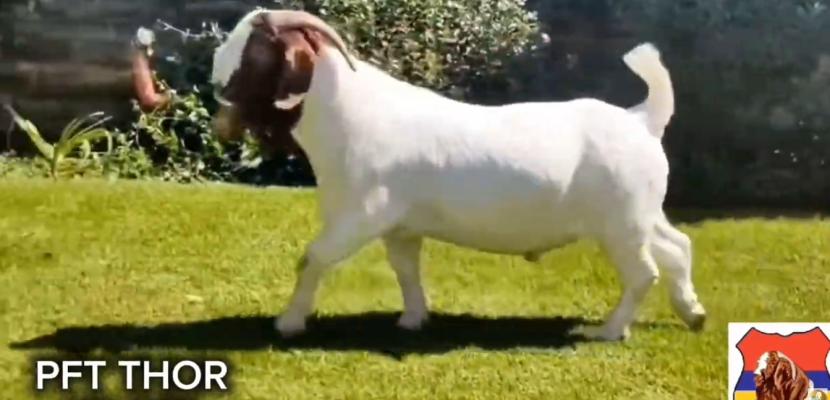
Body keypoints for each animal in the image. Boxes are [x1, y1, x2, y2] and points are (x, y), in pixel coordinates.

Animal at [211, 9, 707, 341]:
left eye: (254, 53)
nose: (216, 88)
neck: (346, 114)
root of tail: (640, 118)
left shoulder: (361, 214)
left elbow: (312, 258)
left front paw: (288, 323)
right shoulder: (400, 226)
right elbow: (405, 270)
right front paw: (413, 320)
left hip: (621, 224)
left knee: (644, 271)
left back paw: (608, 331)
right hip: (640, 215)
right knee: (677, 247)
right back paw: (693, 313)